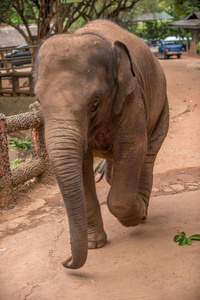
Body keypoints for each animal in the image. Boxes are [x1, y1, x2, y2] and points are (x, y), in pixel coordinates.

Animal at [34, 19, 169, 270]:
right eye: (38, 101)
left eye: (95, 103)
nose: (66, 261)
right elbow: (82, 165)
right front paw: (94, 245)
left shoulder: (133, 98)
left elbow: (133, 147)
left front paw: (135, 215)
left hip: (162, 106)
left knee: (148, 155)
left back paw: (143, 210)